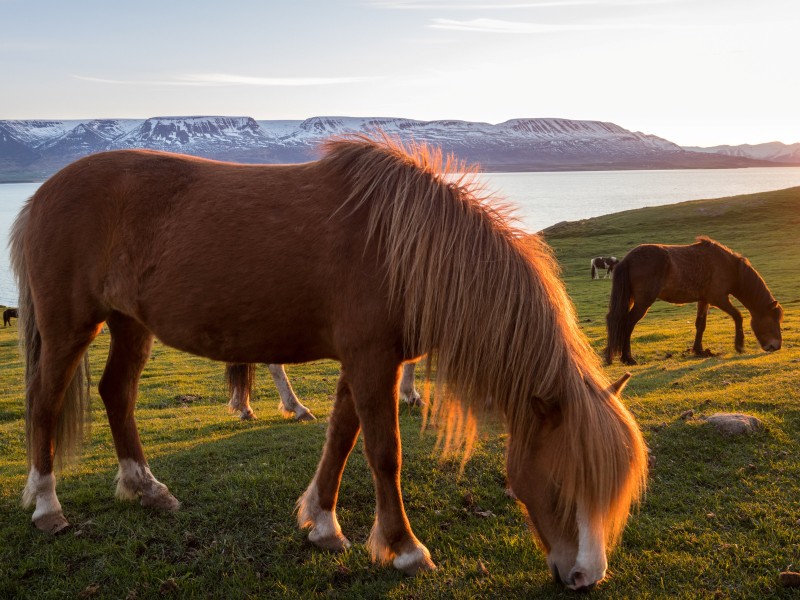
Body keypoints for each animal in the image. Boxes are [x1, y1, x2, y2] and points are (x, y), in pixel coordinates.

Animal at [605, 237, 783, 365]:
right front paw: (739, 345)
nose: (776, 346)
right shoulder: (718, 298)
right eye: (772, 321)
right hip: (643, 302)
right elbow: (737, 316)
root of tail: (628, 259)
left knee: (616, 320)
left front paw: (699, 350)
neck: (728, 266)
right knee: (628, 323)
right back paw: (627, 358)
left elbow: (700, 324)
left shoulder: (704, 300)